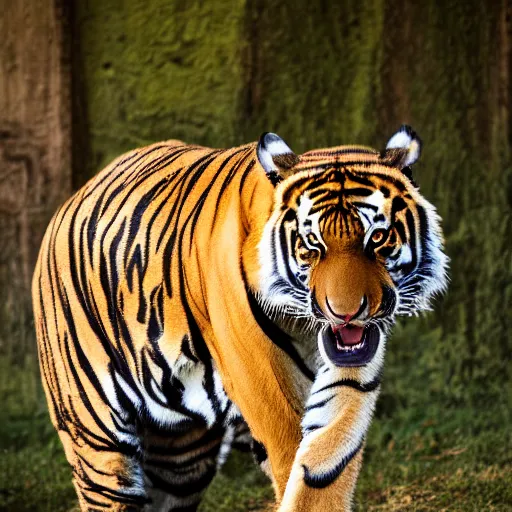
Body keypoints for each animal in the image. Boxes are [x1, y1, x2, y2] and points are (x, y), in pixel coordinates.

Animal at [33, 125, 448, 512]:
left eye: (377, 238)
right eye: (312, 245)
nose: (345, 312)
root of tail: (70, 201)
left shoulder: (350, 373)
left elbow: (325, 464)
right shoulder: (262, 378)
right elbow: (293, 454)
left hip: (180, 458)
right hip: (96, 438)